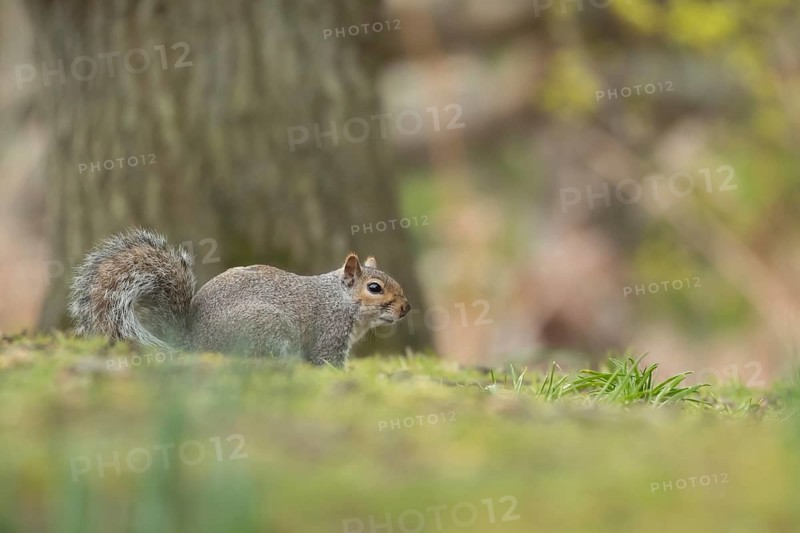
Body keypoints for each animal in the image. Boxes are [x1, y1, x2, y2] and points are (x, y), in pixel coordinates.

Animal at [68, 227, 411, 366]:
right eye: (375, 288)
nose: (406, 308)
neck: (340, 299)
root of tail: (194, 342)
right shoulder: (329, 333)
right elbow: (326, 361)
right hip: (269, 328)